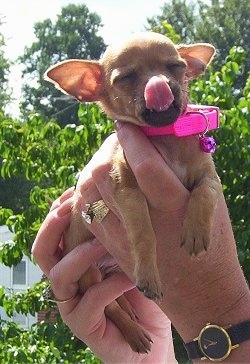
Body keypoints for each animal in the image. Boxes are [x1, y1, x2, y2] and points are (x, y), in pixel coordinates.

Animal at [44, 33, 221, 352]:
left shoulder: (209, 176)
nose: (159, 84)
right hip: (89, 276)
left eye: (177, 67)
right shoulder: (128, 192)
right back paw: (134, 333)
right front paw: (150, 274)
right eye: (125, 78)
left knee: (118, 301)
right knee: (110, 308)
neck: (166, 140)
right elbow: (144, 233)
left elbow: (204, 192)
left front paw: (196, 231)